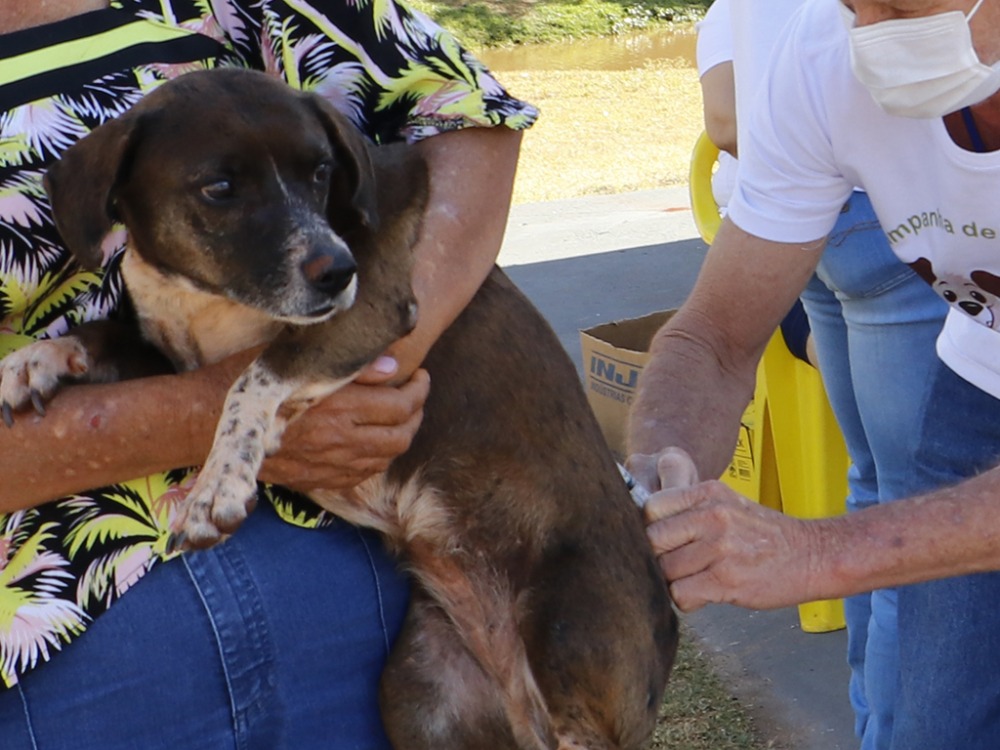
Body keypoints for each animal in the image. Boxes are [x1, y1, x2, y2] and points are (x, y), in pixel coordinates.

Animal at [1, 70, 680, 750]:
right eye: (219, 187)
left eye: (321, 171)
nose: (338, 270)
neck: (205, 295)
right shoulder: (168, 357)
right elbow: (102, 337)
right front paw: (36, 358)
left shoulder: (370, 309)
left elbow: (252, 377)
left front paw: (219, 484)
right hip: (415, 695)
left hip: (569, 636)